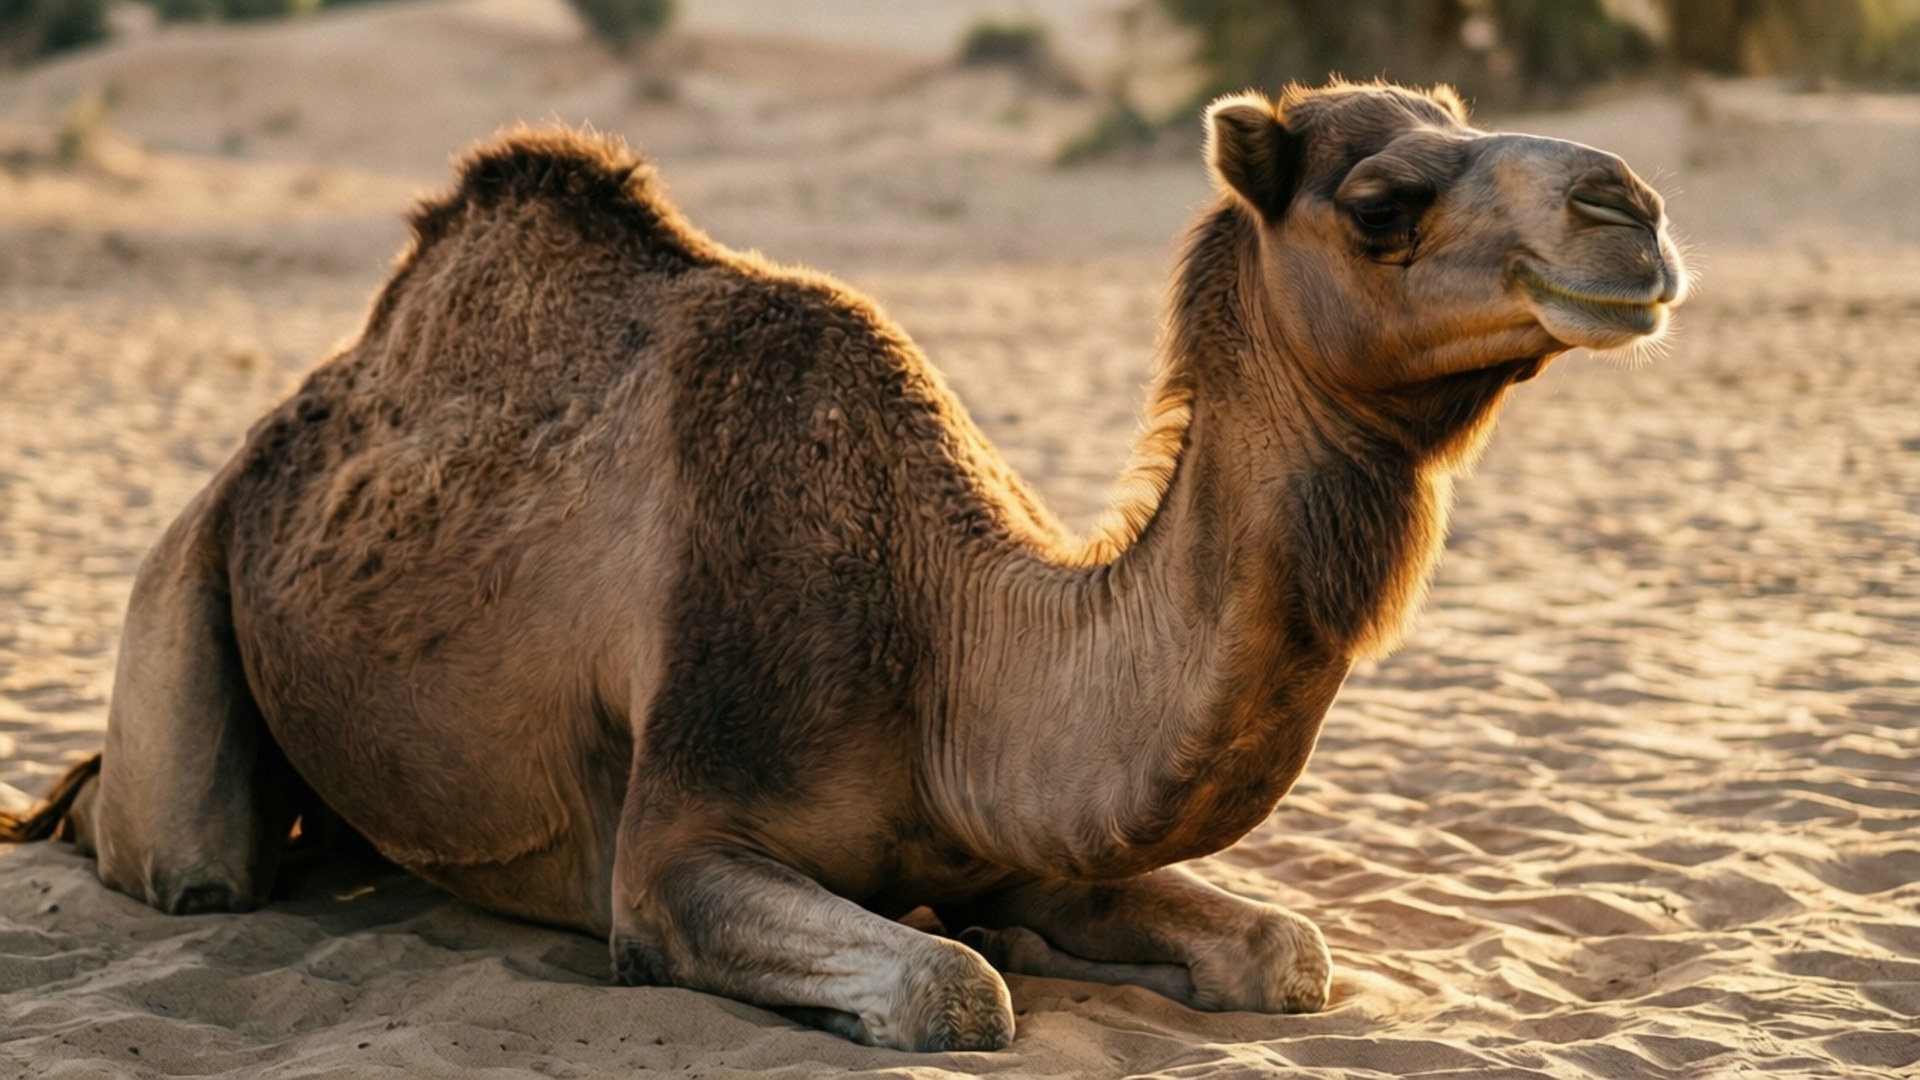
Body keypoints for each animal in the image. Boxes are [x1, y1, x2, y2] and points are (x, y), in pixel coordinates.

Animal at [1, 81, 1687, 1051]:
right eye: (1382, 202)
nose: (1634, 208)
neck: (948, 636)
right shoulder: (672, 849)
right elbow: (951, 989)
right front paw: (968, 962)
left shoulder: (1019, 825)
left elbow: (1288, 953)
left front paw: (1029, 933)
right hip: (183, 596)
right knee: (189, 859)